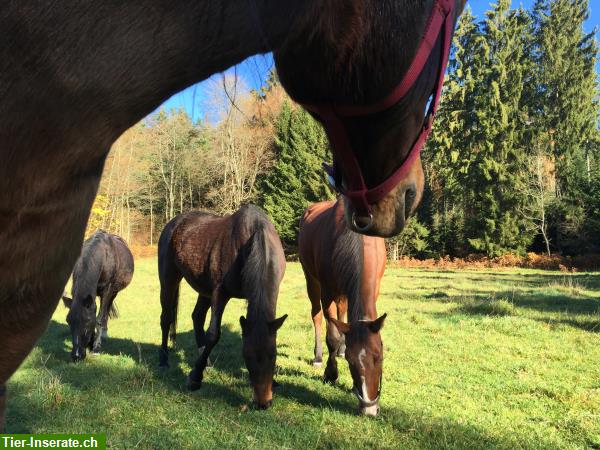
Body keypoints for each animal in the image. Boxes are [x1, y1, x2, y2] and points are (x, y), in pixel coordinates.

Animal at [61, 232, 134, 362]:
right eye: (68, 321)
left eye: (87, 321)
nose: (76, 356)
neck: (103, 257)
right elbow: (94, 312)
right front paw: (91, 343)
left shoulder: (107, 291)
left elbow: (99, 318)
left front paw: (96, 348)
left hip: (113, 292)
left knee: (106, 310)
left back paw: (104, 334)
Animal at [157, 206, 288, 410]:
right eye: (247, 356)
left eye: (273, 356)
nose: (263, 403)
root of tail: (173, 223)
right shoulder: (220, 293)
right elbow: (213, 334)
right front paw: (194, 379)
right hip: (169, 279)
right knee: (166, 319)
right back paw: (164, 361)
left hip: (204, 289)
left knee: (197, 316)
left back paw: (205, 361)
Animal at [298, 199, 386, 416]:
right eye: (351, 363)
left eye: (379, 357)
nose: (369, 410)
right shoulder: (327, 291)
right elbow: (332, 336)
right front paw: (331, 373)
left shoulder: (375, 287)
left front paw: (341, 349)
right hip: (311, 279)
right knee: (317, 316)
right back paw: (319, 356)